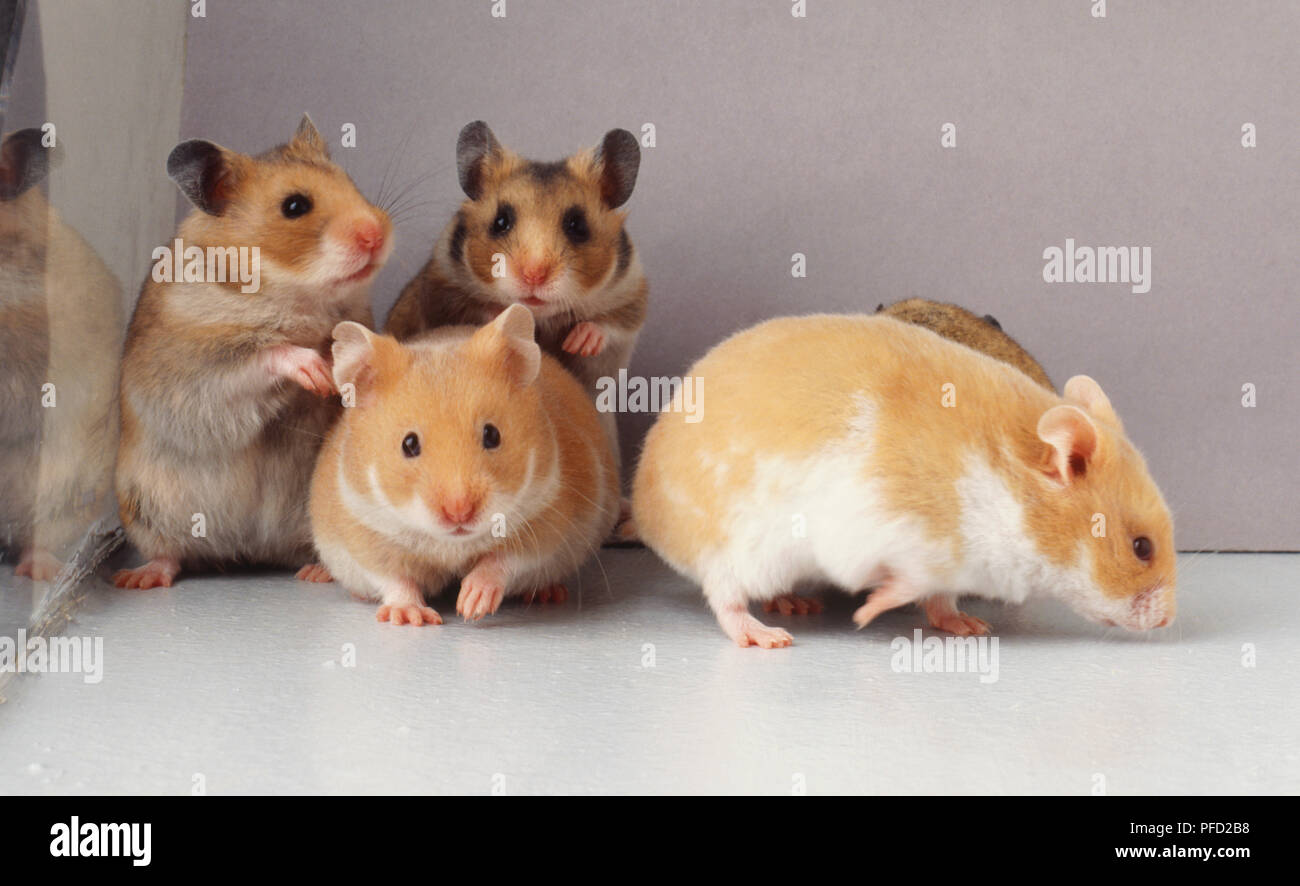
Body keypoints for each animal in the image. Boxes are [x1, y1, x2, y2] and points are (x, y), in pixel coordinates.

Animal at [112, 115, 393, 589]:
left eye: (350, 182)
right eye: (294, 206)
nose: (377, 233)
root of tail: (248, 548)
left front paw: (342, 379)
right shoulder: (195, 372)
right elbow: (266, 355)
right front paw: (318, 371)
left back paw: (317, 572)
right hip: (144, 507)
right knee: (171, 553)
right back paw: (137, 579)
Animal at [310, 304, 620, 625]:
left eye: (492, 435)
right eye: (409, 444)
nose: (459, 511)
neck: (452, 543)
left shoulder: (547, 519)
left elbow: (502, 560)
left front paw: (471, 604)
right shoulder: (362, 531)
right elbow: (395, 578)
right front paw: (410, 616)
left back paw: (548, 593)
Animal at [383, 121, 647, 465]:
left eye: (577, 225)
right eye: (501, 221)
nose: (533, 275)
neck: (539, 317)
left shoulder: (632, 295)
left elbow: (611, 324)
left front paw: (580, 340)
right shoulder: (441, 289)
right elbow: (472, 308)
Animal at [632, 313, 1176, 648]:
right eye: (1142, 548)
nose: (1170, 620)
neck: (1010, 494)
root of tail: (643, 506)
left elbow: (941, 599)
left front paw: (971, 627)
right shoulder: (896, 533)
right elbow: (906, 583)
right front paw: (866, 614)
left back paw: (796, 603)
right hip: (738, 550)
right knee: (724, 597)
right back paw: (768, 636)